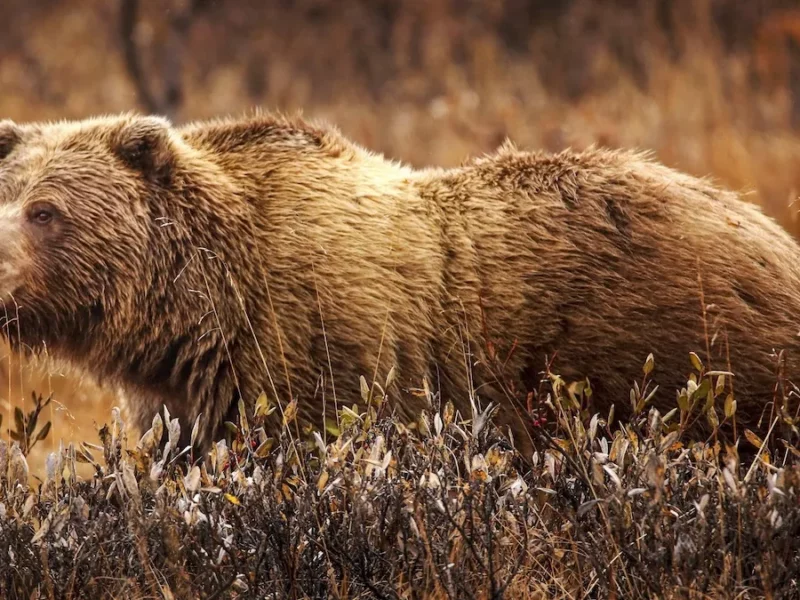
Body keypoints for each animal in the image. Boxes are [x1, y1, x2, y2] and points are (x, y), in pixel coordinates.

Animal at [1, 110, 800, 452]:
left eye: (46, 210)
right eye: (9, 192)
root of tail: (768, 230)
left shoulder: (316, 354)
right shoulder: (188, 398)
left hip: (695, 359)